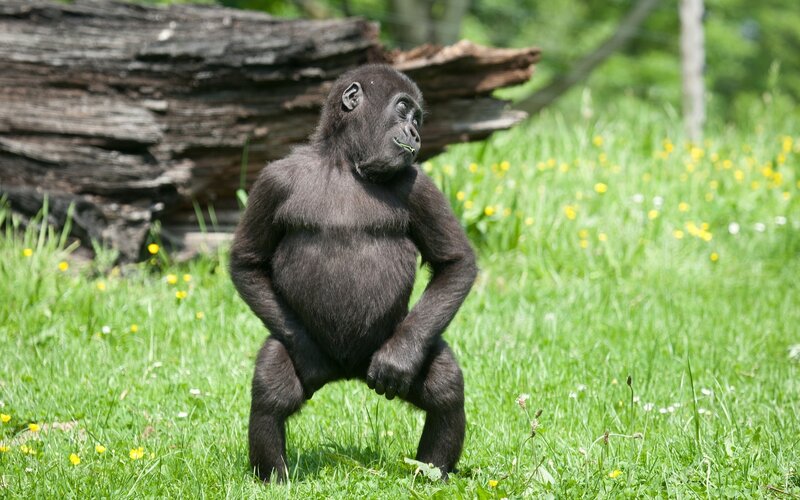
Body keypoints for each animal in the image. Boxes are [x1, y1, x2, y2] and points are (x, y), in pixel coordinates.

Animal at [229, 64, 477, 482]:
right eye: (404, 110)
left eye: (417, 119)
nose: (416, 134)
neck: (345, 163)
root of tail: (347, 371)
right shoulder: (273, 181)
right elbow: (247, 262)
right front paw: (308, 356)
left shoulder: (418, 183)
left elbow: (455, 263)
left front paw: (398, 360)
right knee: (271, 387)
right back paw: (274, 478)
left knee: (444, 385)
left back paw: (431, 474)